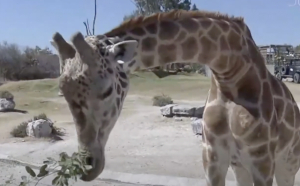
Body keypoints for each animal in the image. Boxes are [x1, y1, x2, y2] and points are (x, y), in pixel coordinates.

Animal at [51, 9, 300, 186]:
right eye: (62, 93)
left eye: (107, 91)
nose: (87, 167)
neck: (230, 72)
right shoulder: (212, 157)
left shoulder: (262, 160)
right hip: (241, 167)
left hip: (286, 163)